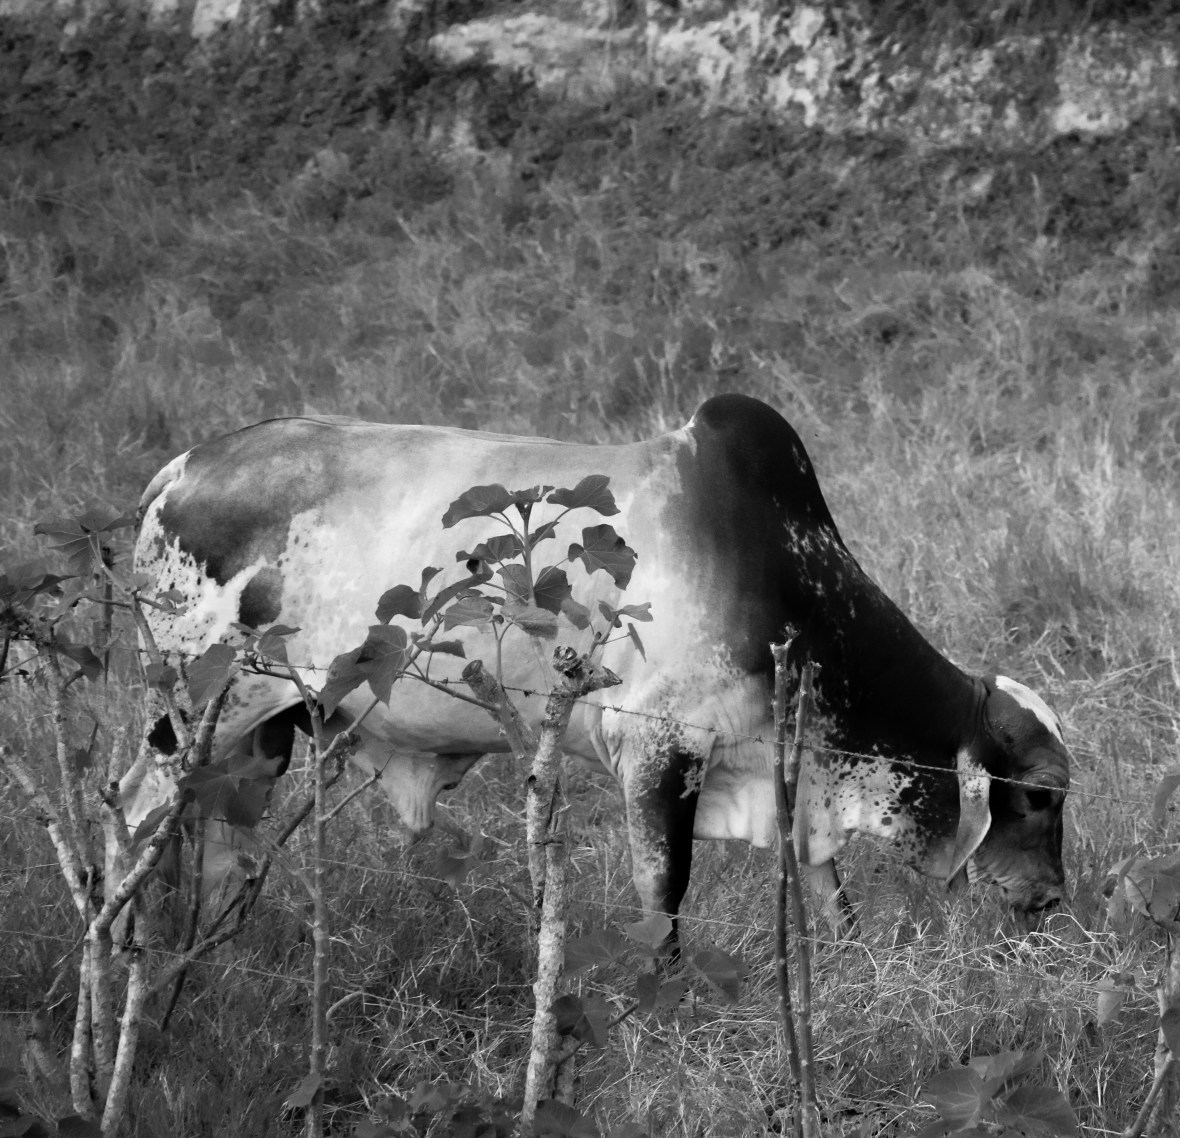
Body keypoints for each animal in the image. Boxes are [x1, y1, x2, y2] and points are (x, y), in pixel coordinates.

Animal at [124, 393, 1070, 942]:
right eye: (1037, 797)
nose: (1052, 900)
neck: (783, 580)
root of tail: (179, 469)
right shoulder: (658, 748)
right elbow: (664, 897)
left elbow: (825, 887)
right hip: (196, 711)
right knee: (137, 815)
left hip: (260, 733)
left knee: (214, 841)